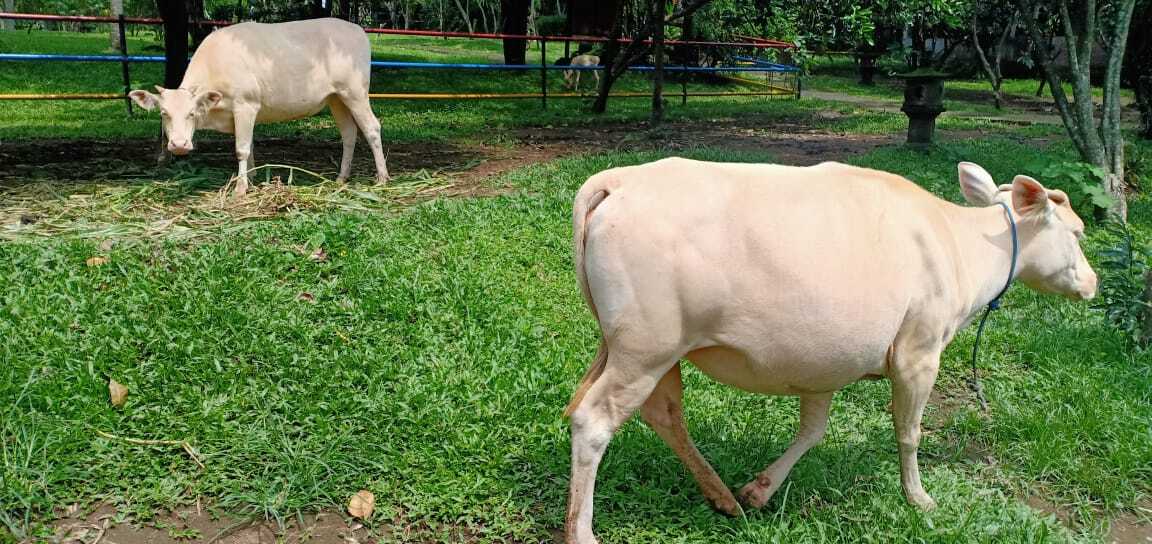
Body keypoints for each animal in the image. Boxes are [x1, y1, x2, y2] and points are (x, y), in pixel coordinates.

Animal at [128, 19, 384, 197]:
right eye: (164, 114)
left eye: (192, 113)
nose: (179, 145)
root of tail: (357, 29)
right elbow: (249, 147)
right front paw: (250, 179)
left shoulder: (245, 104)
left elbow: (241, 149)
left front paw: (241, 188)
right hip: (336, 98)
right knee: (349, 133)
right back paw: (341, 177)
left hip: (355, 92)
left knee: (372, 128)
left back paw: (382, 178)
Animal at [564, 156, 1096, 544]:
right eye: (1077, 232)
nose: (1092, 282)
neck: (961, 246)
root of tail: (620, 179)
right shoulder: (919, 351)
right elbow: (909, 432)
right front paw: (919, 498)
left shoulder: (822, 362)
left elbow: (813, 430)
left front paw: (760, 490)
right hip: (645, 347)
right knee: (594, 420)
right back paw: (582, 532)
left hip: (644, 348)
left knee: (662, 414)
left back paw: (723, 498)